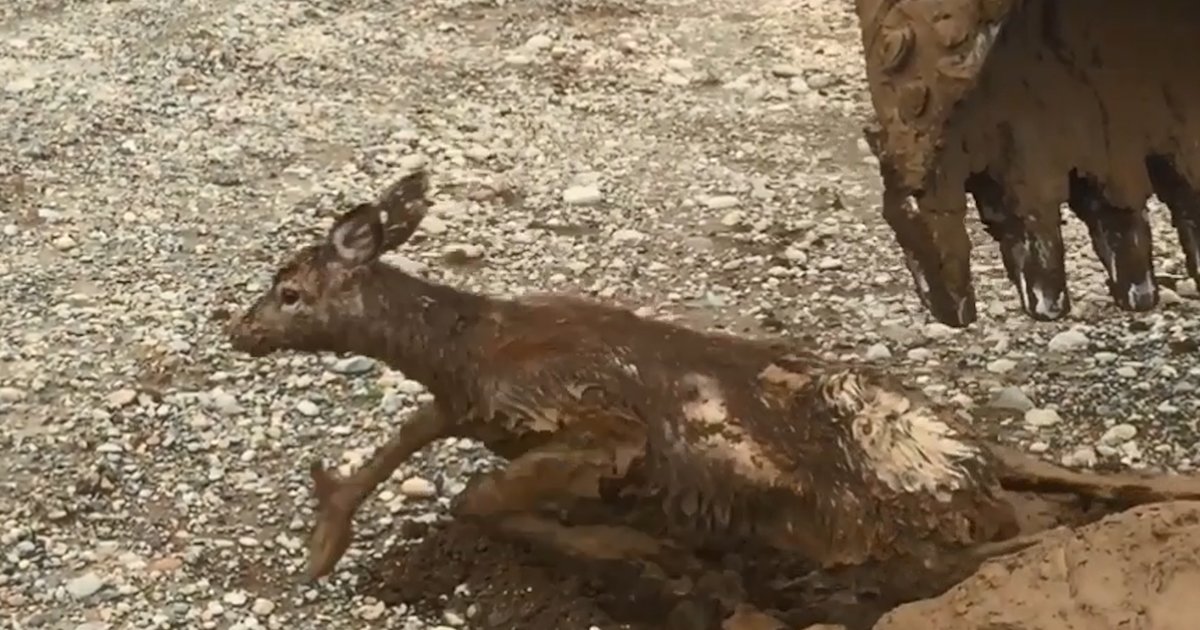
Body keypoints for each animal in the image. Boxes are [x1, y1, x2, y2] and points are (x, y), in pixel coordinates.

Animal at [225, 167, 1200, 595]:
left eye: (288, 289)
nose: (238, 330)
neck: (468, 354)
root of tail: (967, 471)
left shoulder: (592, 426)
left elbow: (484, 499)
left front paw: (634, 555)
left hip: (885, 511)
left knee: (998, 537)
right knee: (1054, 481)